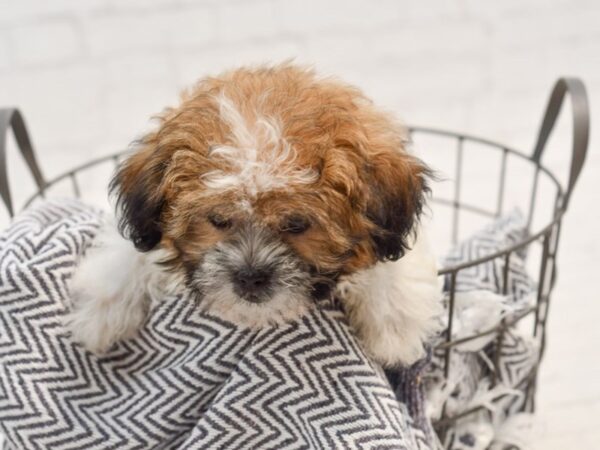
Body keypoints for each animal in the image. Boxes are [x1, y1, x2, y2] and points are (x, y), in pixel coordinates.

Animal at [65, 64, 442, 366]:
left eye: (297, 224)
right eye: (218, 220)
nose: (250, 277)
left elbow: (390, 265)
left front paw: (394, 330)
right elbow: (126, 255)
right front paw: (100, 313)